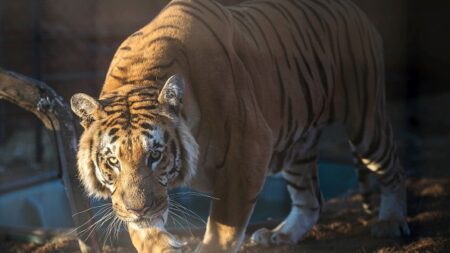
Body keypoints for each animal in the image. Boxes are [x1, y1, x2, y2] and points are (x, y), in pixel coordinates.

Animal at [71, 0, 412, 251]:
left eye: (155, 155)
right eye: (113, 161)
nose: (138, 210)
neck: (140, 75)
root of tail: (352, 8)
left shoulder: (249, 150)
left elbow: (222, 230)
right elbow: (144, 232)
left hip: (365, 119)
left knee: (393, 167)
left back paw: (391, 221)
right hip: (297, 146)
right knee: (310, 200)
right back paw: (280, 235)